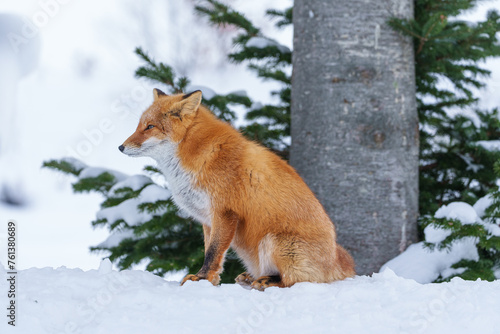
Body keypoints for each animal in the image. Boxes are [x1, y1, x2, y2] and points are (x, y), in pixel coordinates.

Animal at [120, 89, 356, 290]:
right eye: (139, 125)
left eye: (150, 127)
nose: (120, 147)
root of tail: (339, 259)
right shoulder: (207, 219)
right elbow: (211, 251)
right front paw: (211, 281)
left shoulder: (225, 212)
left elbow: (213, 252)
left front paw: (201, 279)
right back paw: (251, 278)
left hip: (275, 241)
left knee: (296, 281)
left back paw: (268, 281)